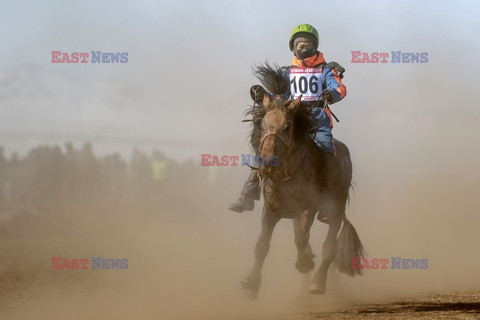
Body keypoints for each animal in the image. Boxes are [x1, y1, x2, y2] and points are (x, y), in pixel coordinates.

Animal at [240, 63, 364, 300]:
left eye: (287, 127)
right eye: (263, 124)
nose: (266, 162)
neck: (286, 176)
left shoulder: (308, 207)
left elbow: (300, 238)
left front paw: (305, 262)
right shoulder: (270, 211)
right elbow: (262, 246)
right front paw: (251, 285)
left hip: (335, 212)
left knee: (329, 247)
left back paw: (317, 283)